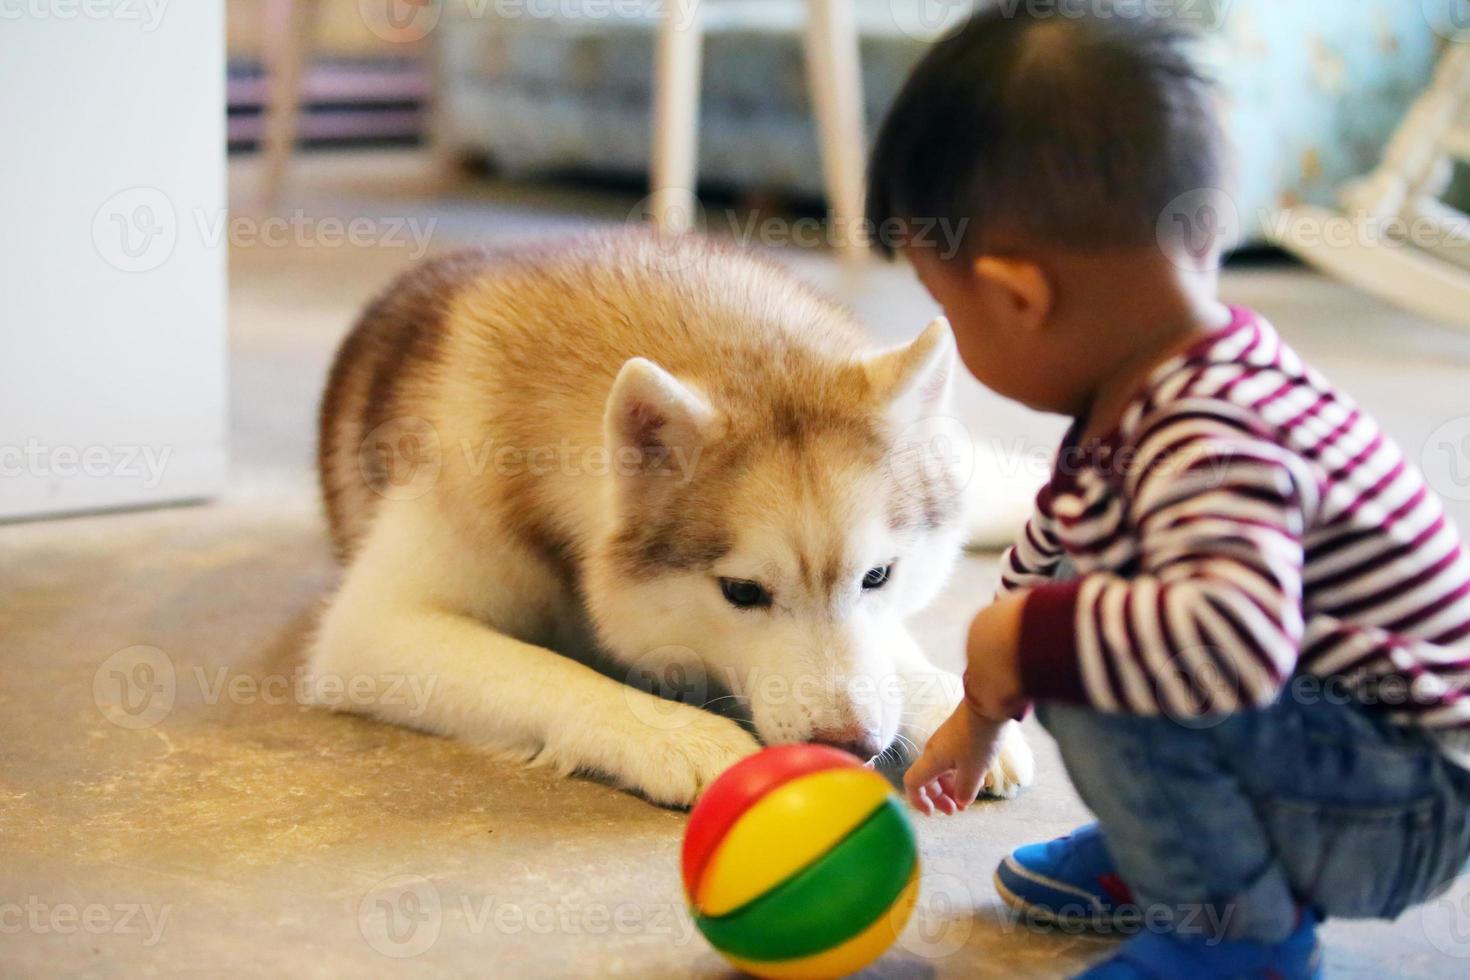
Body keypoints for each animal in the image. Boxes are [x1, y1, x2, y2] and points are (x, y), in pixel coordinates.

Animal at [310, 230, 1034, 805]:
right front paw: (678, 736)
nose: (849, 744)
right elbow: (547, 671)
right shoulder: (372, 631)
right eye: (742, 592)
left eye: (878, 576)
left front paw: (948, 707)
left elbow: (890, 648)